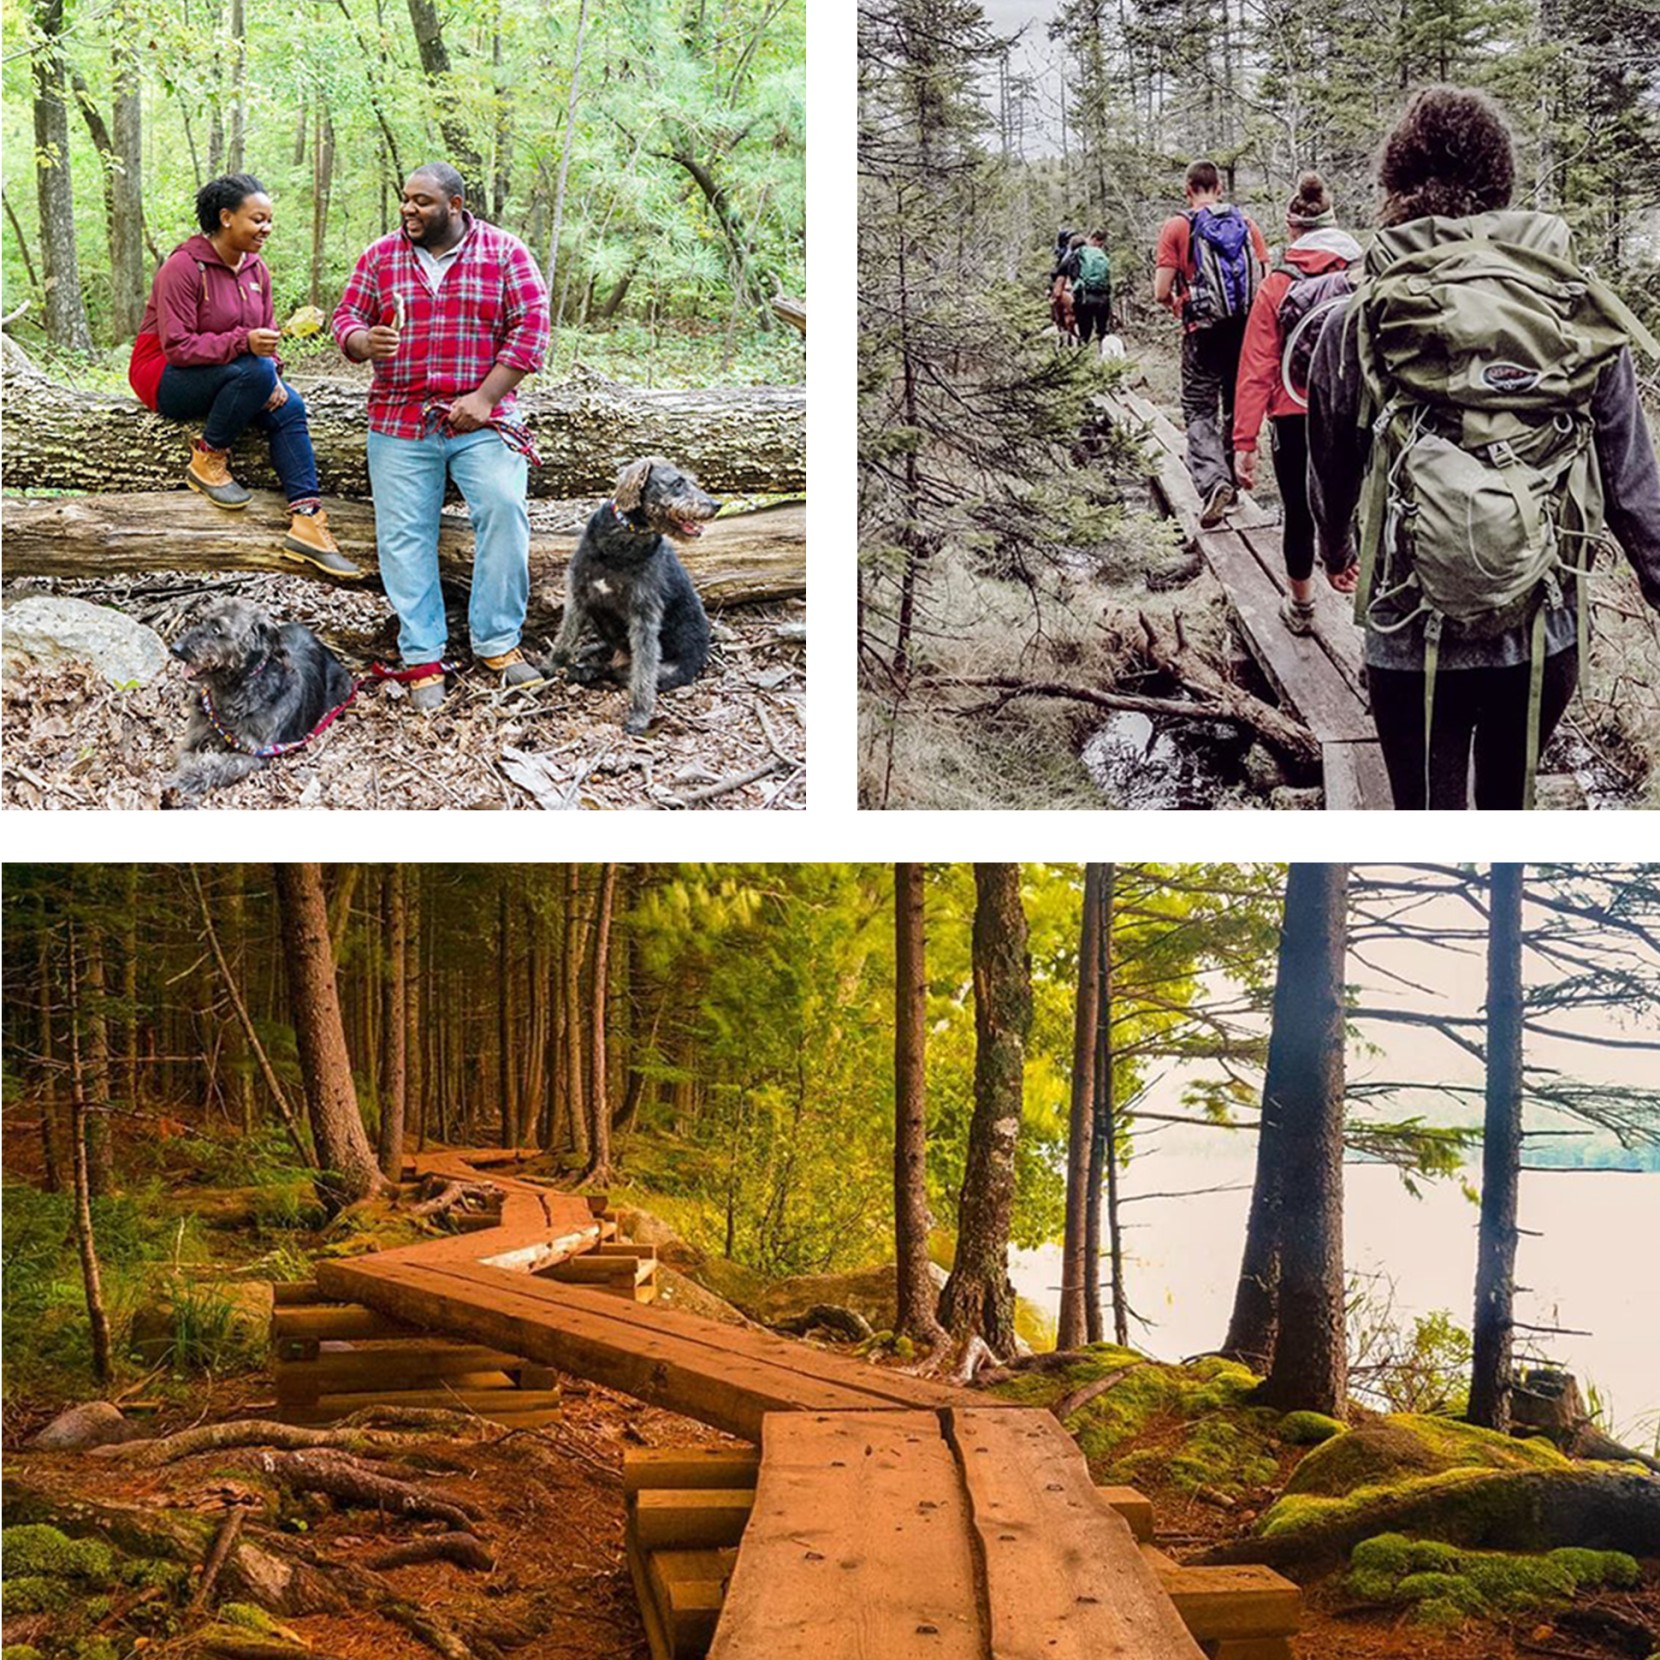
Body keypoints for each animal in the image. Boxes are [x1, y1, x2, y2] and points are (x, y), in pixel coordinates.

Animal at [164, 594, 353, 806]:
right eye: (201, 620)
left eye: (217, 629)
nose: (175, 649)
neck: (234, 689)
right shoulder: (197, 730)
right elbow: (187, 754)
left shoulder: (256, 753)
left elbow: (222, 766)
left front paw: (183, 779)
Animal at [547, 458, 717, 737]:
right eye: (678, 483)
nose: (716, 505)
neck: (624, 539)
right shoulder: (578, 597)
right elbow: (564, 639)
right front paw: (547, 668)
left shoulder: (644, 617)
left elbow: (643, 677)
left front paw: (638, 717)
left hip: (656, 668)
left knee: (621, 672)